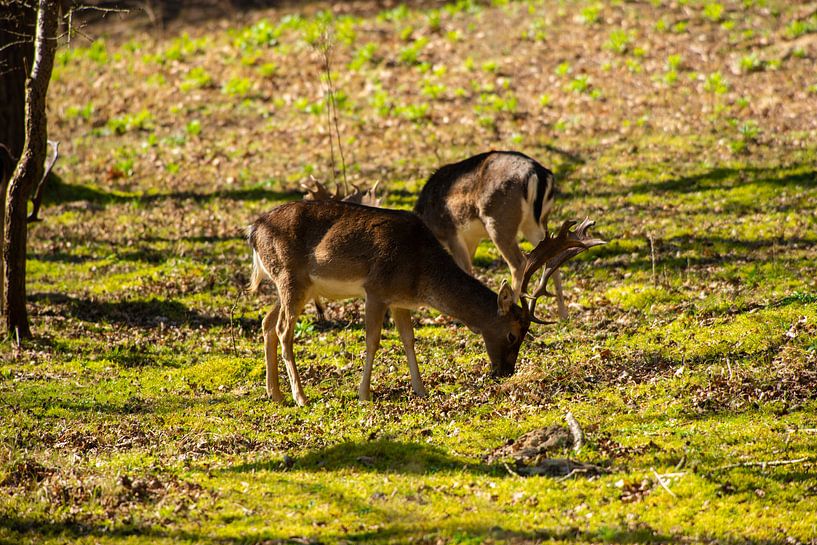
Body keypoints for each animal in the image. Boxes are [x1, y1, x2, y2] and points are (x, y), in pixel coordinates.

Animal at [247, 198, 604, 406]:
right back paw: (300, 396)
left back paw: (274, 393)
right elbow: (373, 340)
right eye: (512, 334)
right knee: (283, 329)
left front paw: (421, 389)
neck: (420, 273)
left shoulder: (400, 300)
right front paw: (364, 394)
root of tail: (253, 231)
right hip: (291, 277)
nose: (505, 372)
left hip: (296, 285)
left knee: (266, 322)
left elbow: (409, 339)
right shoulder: (376, 289)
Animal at [413, 150, 570, 319]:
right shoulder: (471, 238)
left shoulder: (451, 231)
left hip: (499, 221)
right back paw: (563, 315)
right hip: (535, 223)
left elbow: (465, 270)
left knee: (519, 262)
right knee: (552, 257)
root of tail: (538, 174)